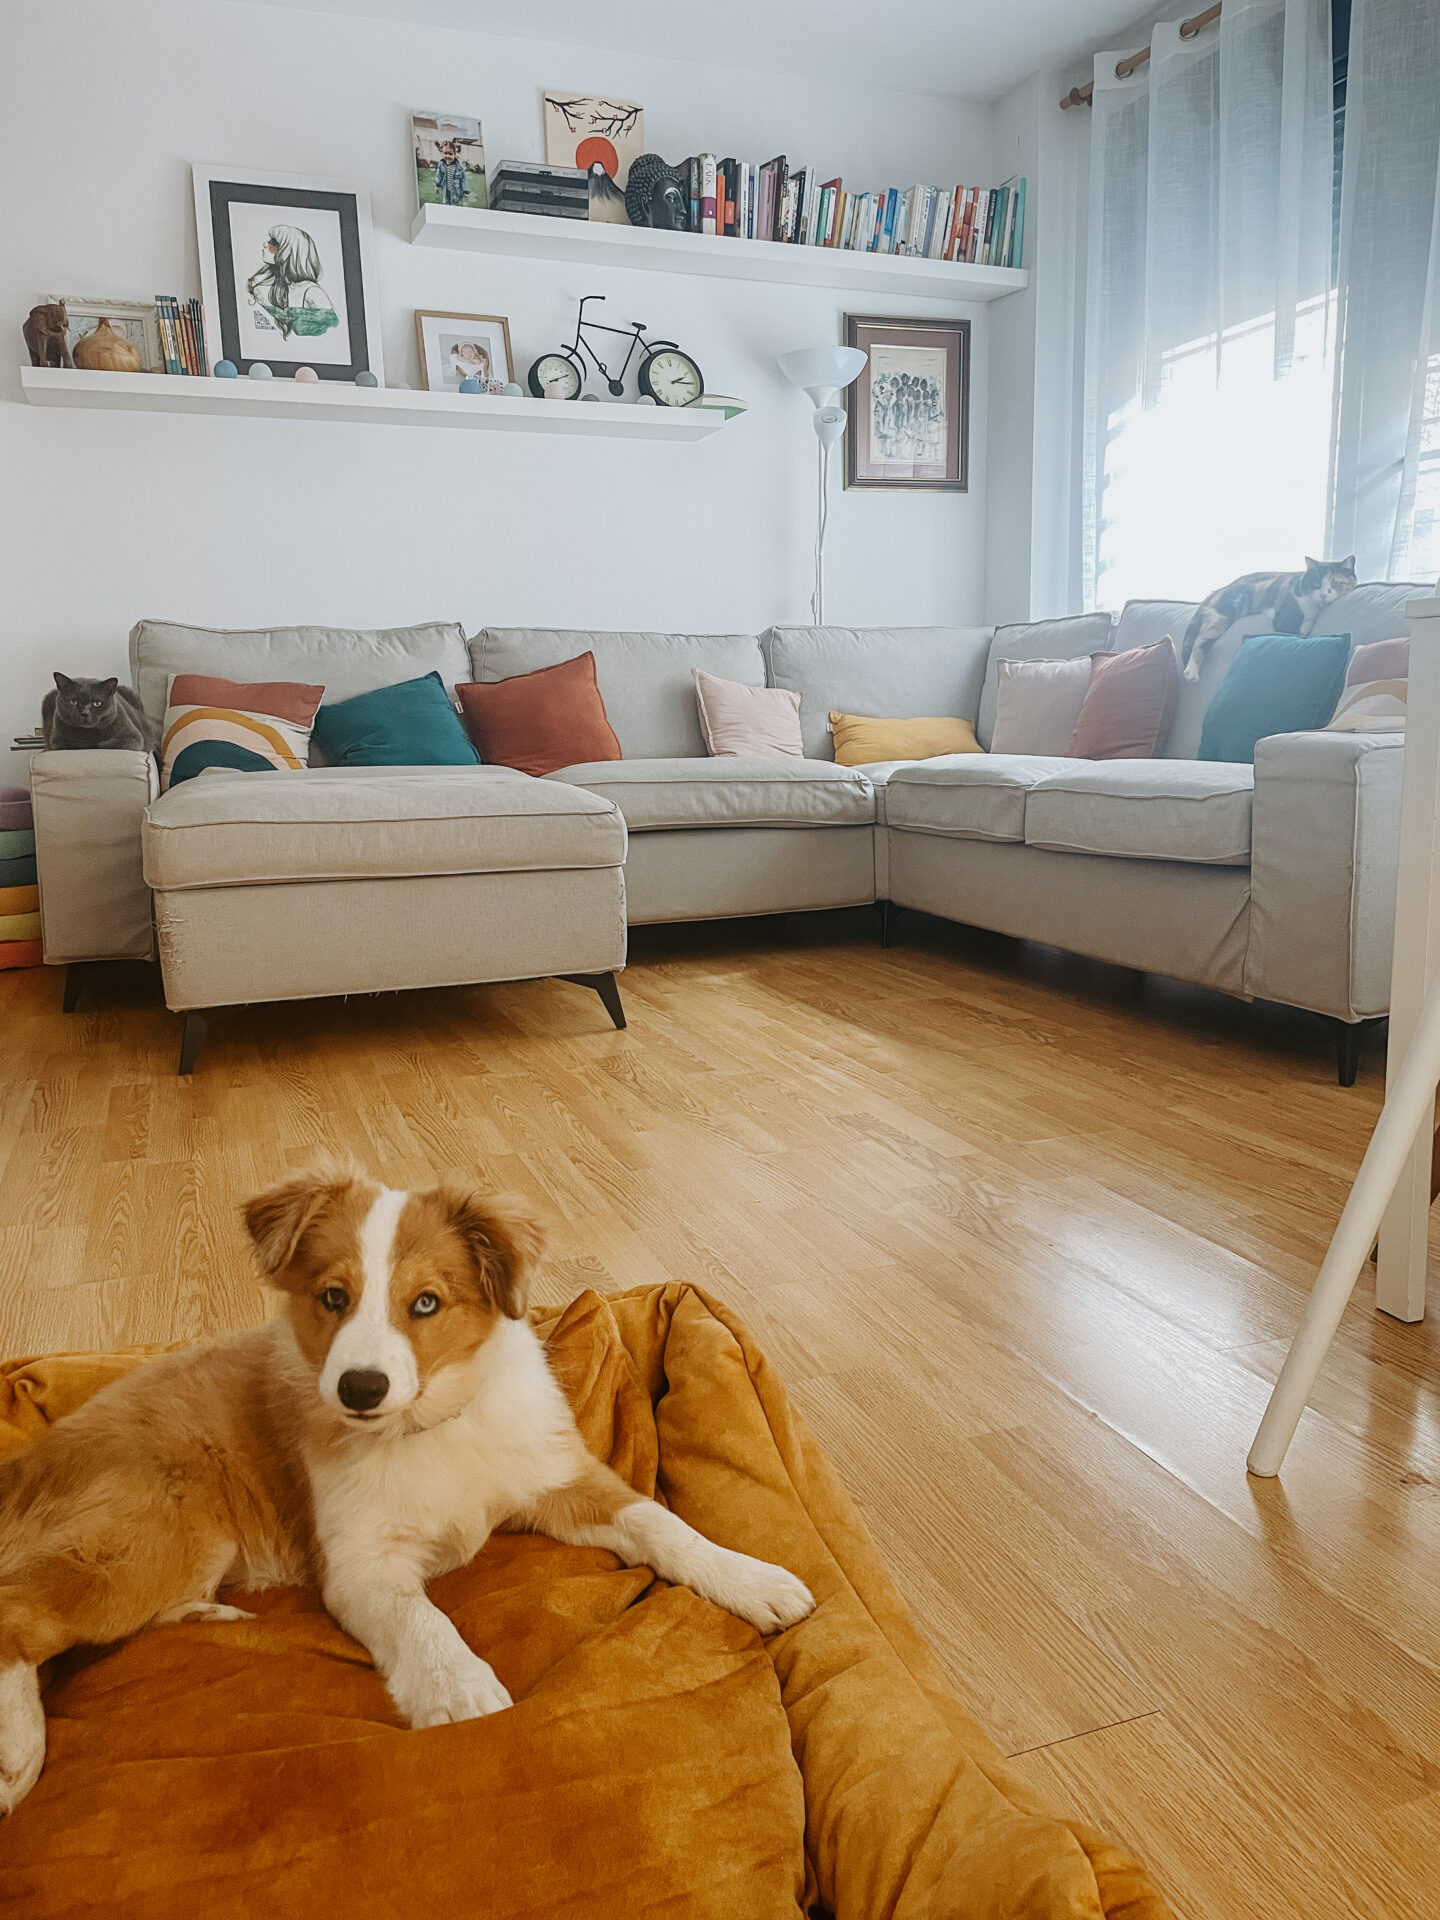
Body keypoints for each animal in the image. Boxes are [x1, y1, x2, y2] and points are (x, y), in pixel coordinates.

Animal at [0, 1159, 817, 1804]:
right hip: (153, 1538)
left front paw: (752, 1578)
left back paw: (209, 1616)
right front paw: (460, 1694)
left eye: (426, 1302)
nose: (359, 1388)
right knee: (17, 1612)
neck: (428, 1425)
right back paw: (18, 1754)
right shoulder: (362, 1564)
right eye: (333, 1298)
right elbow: (423, 1619)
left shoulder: (560, 1475)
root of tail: (27, 1464)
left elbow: (661, 1522)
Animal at [1175, 556, 1359, 683]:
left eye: (1336, 583)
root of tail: (1218, 590)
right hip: (1225, 612)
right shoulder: (1285, 615)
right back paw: (1191, 672)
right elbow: (1295, 631)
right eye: (1316, 584)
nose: (1323, 594)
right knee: (1200, 639)